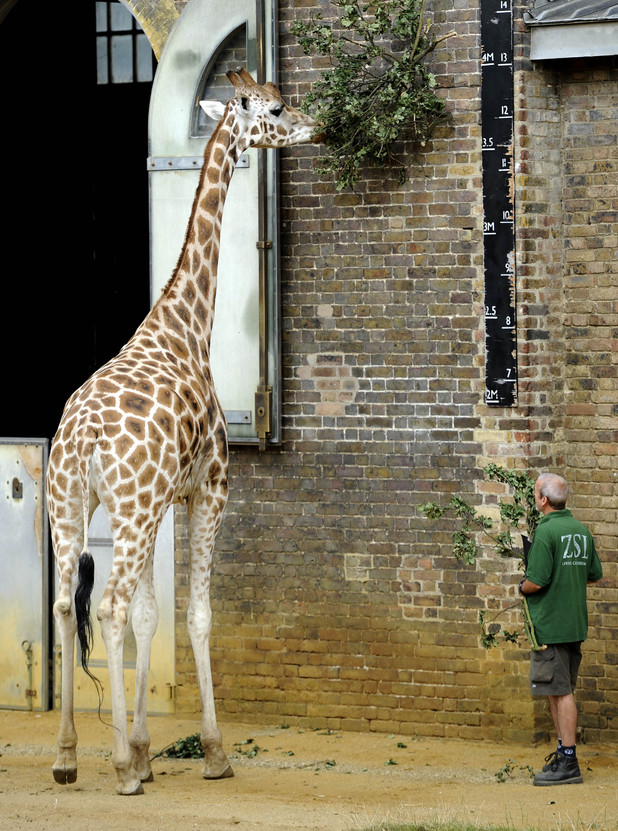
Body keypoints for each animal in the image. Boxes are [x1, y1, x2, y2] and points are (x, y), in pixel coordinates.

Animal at [46, 67, 320, 796]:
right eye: (275, 108)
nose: (313, 124)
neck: (184, 326)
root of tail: (82, 438)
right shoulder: (209, 488)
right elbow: (195, 614)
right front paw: (210, 752)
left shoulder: (164, 499)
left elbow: (151, 615)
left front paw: (146, 746)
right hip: (128, 509)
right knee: (107, 605)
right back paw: (116, 767)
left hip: (72, 505)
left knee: (68, 604)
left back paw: (67, 756)